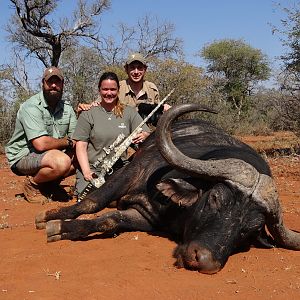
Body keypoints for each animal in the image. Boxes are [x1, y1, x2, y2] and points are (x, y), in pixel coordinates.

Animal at [35, 103, 300, 274]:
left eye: (250, 229)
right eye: (215, 198)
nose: (203, 260)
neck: (173, 209)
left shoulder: (145, 217)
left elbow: (109, 221)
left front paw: (61, 229)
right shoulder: (130, 173)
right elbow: (92, 202)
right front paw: (49, 217)